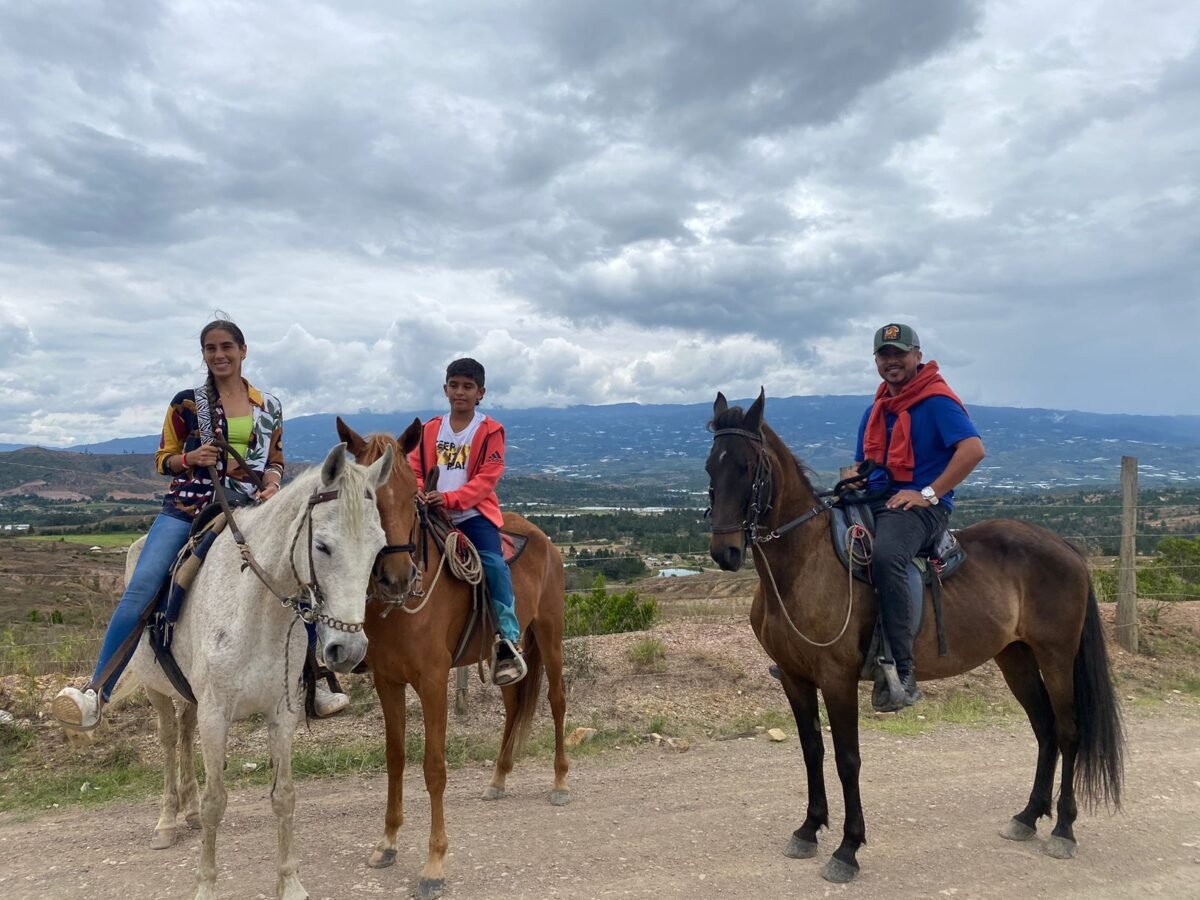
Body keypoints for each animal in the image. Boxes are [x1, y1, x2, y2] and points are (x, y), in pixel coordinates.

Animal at [120, 443, 393, 900]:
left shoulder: (281, 714)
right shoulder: (216, 716)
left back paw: (187, 813)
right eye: (323, 546)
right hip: (157, 691)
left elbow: (284, 796)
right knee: (170, 742)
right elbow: (217, 802)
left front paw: (291, 883)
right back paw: (168, 821)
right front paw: (206, 886)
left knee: (185, 734)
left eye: (378, 548)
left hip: (189, 696)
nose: (348, 650)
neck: (255, 610)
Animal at [336, 417, 569, 900]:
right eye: (364, 498)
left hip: (550, 634)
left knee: (556, 701)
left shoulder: (432, 680)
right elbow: (395, 757)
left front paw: (434, 864)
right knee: (514, 706)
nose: (397, 576)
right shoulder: (388, 681)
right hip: (508, 656)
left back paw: (560, 782)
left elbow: (434, 767)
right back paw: (498, 779)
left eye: (413, 496)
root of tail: (543, 538)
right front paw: (387, 843)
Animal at [705, 390, 1123, 884]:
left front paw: (847, 848)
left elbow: (848, 759)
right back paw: (1027, 817)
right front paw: (808, 829)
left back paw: (1063, 829)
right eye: (710, 466)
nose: (726, 552)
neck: (803, 563)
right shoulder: (794, 676)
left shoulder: (837, 678)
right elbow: (812, 750)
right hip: (1016, 656)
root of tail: (1066, 547)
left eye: (749, 467)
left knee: (1070, 730)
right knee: (1045, 729)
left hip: (1056, 655)